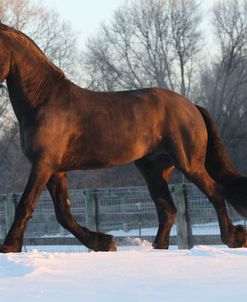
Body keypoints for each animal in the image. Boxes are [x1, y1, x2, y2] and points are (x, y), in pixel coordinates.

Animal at [0, 22, 247, 251]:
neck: (44, 99)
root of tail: (192, 106)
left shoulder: (44, 163)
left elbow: (26, 205)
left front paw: (9, 247)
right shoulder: (55, 169)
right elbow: (63, 213)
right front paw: (103, 242)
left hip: (189, 164)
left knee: (214, 192)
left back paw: (234, 238)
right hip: (153, 168)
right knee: (167, 208)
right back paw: (159, 247)